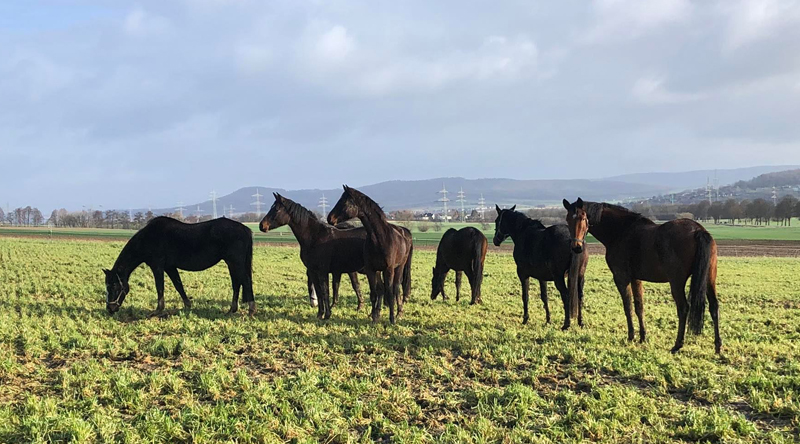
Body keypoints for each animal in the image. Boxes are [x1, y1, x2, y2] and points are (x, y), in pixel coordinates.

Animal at [102, 216, 253, 316]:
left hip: (235, 262)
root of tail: (245, 229)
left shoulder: (157, 266)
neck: (148, 238)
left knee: (245, 281)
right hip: (231, 263)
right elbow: (178, 285)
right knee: (236, 284)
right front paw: (187, 305)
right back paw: (232, 310)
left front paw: (158, 310)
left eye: (114, 286)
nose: (110, 309)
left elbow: (160, 287)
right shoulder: (170, 267)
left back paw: (251, 309)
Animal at [326, 186, 412, 324]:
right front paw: (374, 317)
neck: (380, 238)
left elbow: (388, 292)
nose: (330, 218)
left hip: (399, 267)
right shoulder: (371, 270)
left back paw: (399, 313)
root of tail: (405, 233)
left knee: (396, 288)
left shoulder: (388, 270)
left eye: (345, 202)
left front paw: (391, 319)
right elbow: (373, 293)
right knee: (383, 289)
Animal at [560, 198, 720, 354]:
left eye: (583, 217)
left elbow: (628, 307)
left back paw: (677, 345)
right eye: (567, 219)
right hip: (709, 278)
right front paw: (643, 337)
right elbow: (639, 307)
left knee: (683, 308)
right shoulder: (635, 279)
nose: (576, 247)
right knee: (714, 306)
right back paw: (718, 346)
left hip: (676, 282)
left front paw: (631, 336)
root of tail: (698, 230)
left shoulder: (621, 278)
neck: (620, 231)